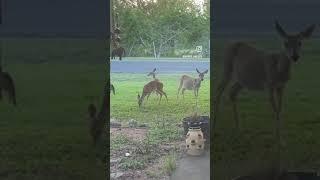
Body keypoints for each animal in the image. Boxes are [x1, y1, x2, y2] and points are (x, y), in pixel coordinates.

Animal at [212, 20, 316, 160]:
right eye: (285, 43)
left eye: (300, 42)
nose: (295, 56)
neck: (279, 70)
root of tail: (230, 44)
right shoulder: (269, 85)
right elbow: (275, 111)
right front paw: (279, 142)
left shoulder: (281, 86)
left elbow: (280, 110)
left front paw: (282, 141)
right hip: (227, 67)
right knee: (218, 91)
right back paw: (214, 128)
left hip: (242, 79)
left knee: (232, 92)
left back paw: (238, 130)